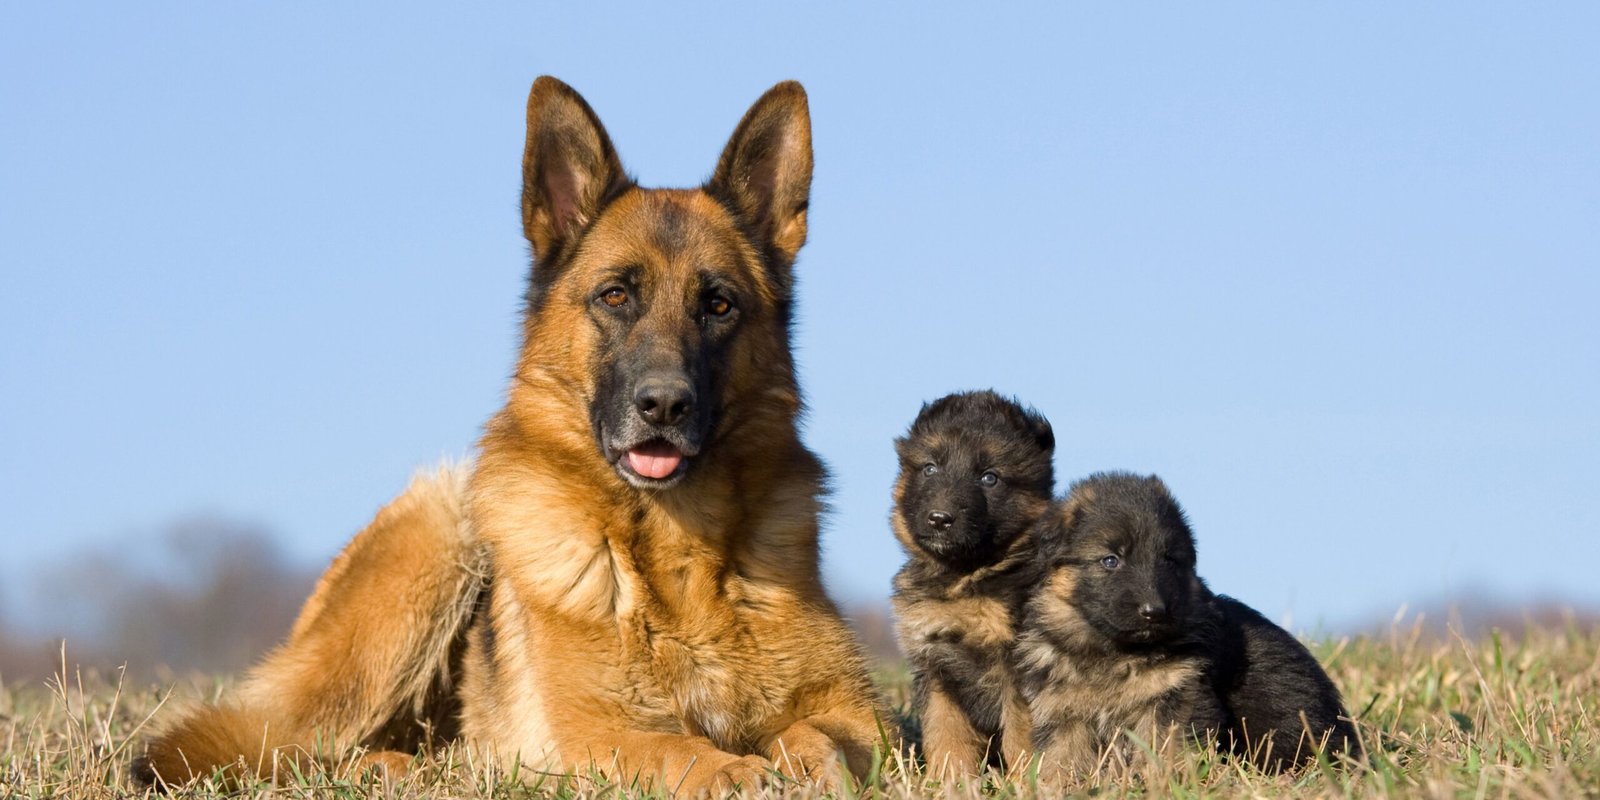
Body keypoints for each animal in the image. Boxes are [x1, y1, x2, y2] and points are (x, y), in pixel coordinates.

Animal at [132, 76, 889, 793]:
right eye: (616, 295)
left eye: (720, 305)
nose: (665, 405)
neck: (677, 555)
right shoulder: (595, 732)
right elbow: (676, 749)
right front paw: (732, 772)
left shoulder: (858, 717)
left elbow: (821, 737)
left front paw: (810, 765)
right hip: (433, 538)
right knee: (295, 751)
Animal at [883, 390, 1056, 777]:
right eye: (930, 468)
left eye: (989, 478)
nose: (939, 519)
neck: (963, 577)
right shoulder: (935, 665)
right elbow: (945, 731)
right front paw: (950, 779)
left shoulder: (1019, 666)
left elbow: (1021, 733)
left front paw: (1026, 780)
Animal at [1017, 470, 1356, 777]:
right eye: (1111, 560)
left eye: (1168, 559)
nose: (1154, 611)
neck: (1115, 652)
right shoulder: (1063, 713)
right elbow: (1061, 760)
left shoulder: (1176, 697)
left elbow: (1166, 750)